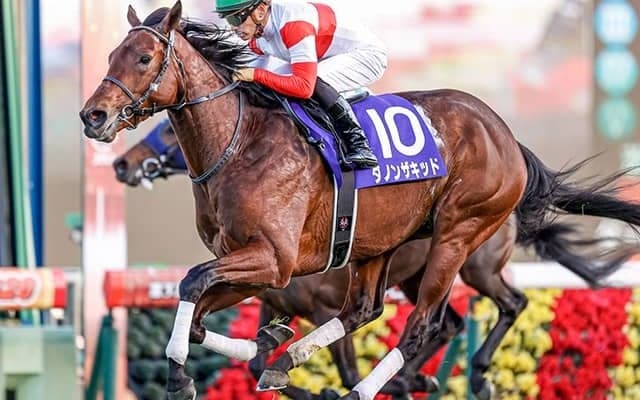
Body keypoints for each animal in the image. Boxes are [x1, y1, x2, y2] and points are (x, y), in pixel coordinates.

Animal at [80, 3, 640, 399]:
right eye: (109, 57)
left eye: (144, 58)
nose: (94, 117)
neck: (242, 146)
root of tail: (504, 133)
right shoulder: (255, 270)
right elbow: (199, 317)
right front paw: (260, 349)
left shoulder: (274, 259)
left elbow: (192, 284)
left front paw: (184, 378)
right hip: (379, 246)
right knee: (366, 311)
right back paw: (298, 361)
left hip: (460, 239)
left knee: (428, 324)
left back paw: (382, 386)